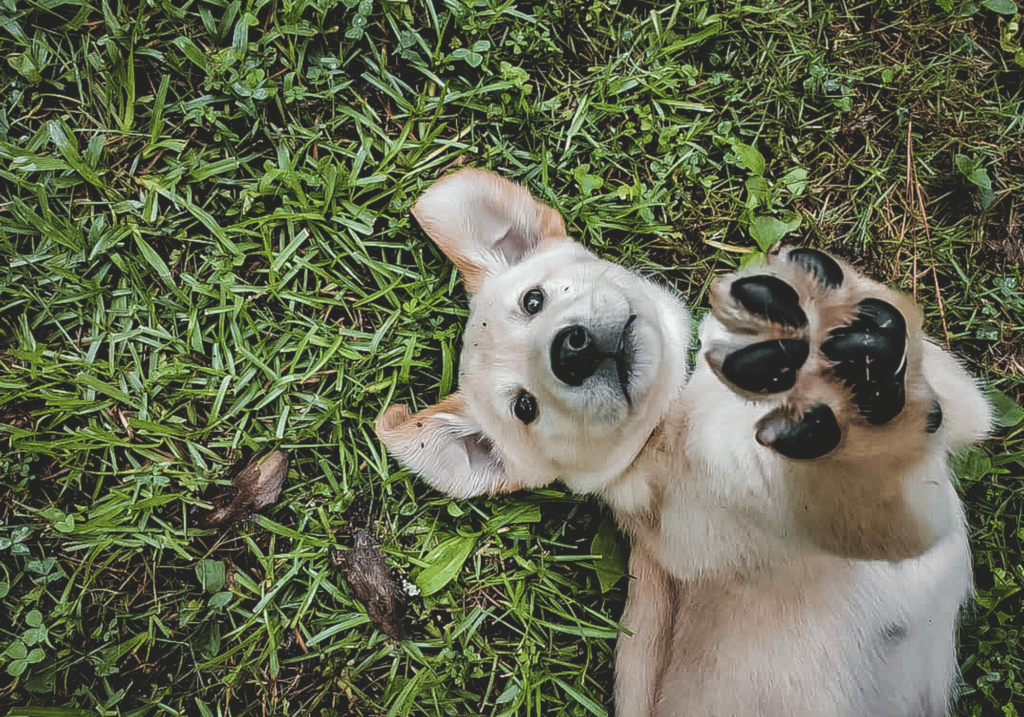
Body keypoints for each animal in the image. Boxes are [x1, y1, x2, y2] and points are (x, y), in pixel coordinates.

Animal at [376, 169, 991, 717]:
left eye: (532, 300)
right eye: (524, 408)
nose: (571, 349)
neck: (677, 411)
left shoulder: (961, 411)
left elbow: (922, 364)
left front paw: (814, 300)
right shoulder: (874, 517)